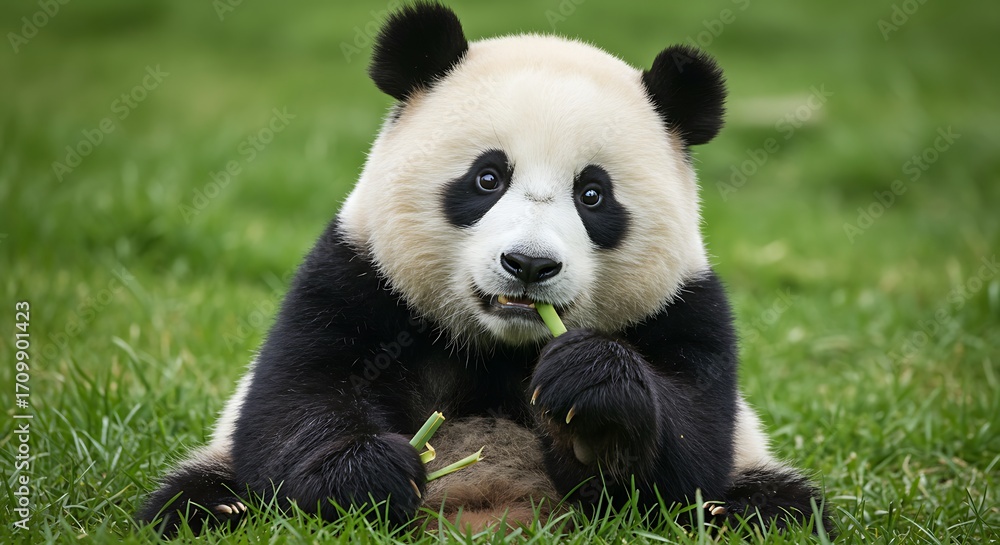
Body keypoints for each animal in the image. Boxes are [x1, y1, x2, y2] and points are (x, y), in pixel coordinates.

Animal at [137, 2, 832, 537]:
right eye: (487, 178)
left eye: (593, 195)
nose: (529, 264)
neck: (502, 345)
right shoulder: (354, 275)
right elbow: (295, 400)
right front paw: (367, 476)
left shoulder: (687, 306)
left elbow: (693, 451)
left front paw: (593, 399)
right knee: (198, 506)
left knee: (773, 513)